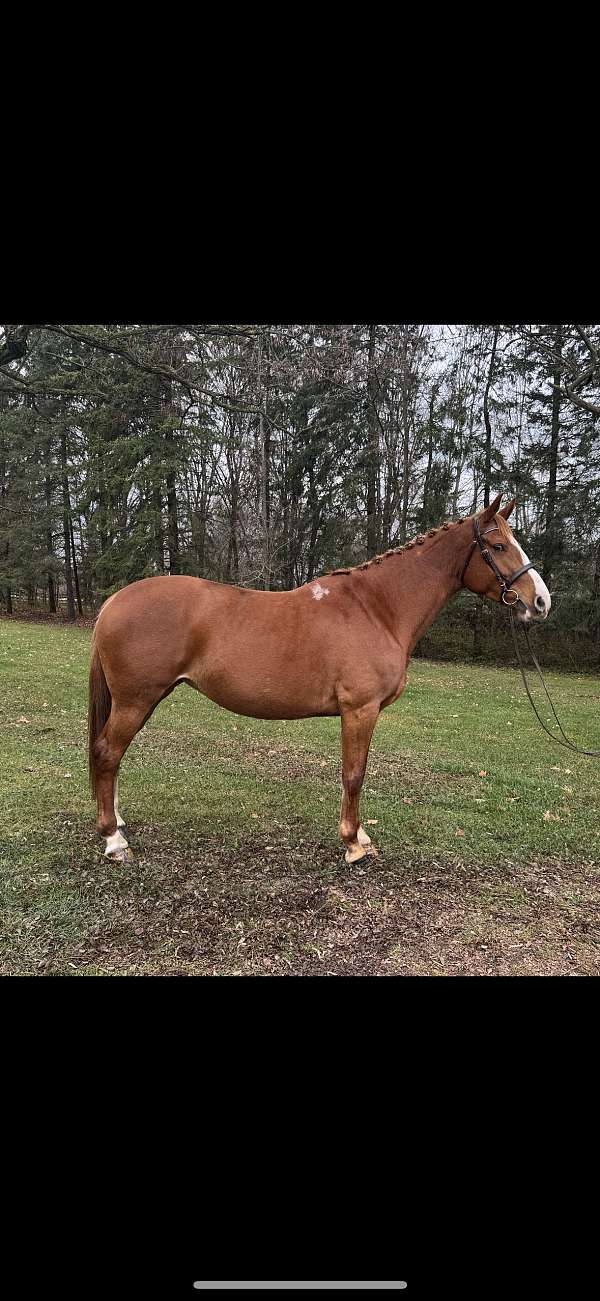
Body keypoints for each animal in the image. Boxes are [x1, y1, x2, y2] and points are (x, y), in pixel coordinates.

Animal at [86, 494, 549, 863]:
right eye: (497, 545)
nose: (541, 602)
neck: (377, 608)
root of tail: (114, 602)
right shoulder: (359, 710)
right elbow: (354, 774)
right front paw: (353, 844)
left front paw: (360, 836)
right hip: (136, 700)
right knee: (108, 753)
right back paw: (114, 841)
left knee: (111, 756)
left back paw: (118, 823)